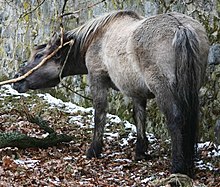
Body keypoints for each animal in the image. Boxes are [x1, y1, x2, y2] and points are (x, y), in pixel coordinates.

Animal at [13, 10, 210, 177]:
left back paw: (178, 167)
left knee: (175, 120)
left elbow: (100, 114)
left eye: (39, 56)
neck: (97, 38)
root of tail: (181, 28)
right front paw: (140, 151)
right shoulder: (136, 92)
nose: (17, 79)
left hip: (164, 90)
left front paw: (94, 150)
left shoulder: (97, 79)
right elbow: (139, 117)